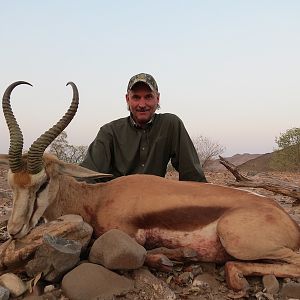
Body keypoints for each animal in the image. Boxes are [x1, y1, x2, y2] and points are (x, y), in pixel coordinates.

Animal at [0, 81, 300, 290]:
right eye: (12, 183)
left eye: (42, 183)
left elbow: (135, 253)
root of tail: (287, 219)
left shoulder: (124, 234)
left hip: (236, 239)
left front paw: (173, 257)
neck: (98, 198)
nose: (15, 231)